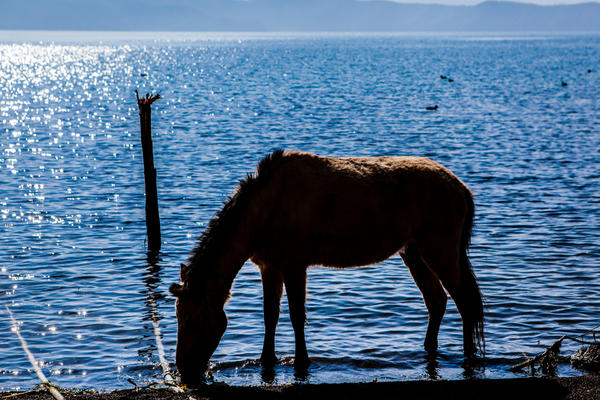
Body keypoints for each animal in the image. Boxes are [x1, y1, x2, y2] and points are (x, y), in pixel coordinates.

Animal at [169, 148, 482, 382]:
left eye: (193, 320)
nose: (184, 368)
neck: (265, 209)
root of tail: (461, 188)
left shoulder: (294, 266)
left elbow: (296, 316)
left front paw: (301, 361)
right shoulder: (270, 267)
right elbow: (270, 316)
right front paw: (266, 360)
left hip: (439, 251)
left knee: (465, 302)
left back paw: (468, 357)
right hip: (414, 253)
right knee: (437, 301)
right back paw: (429, 349)